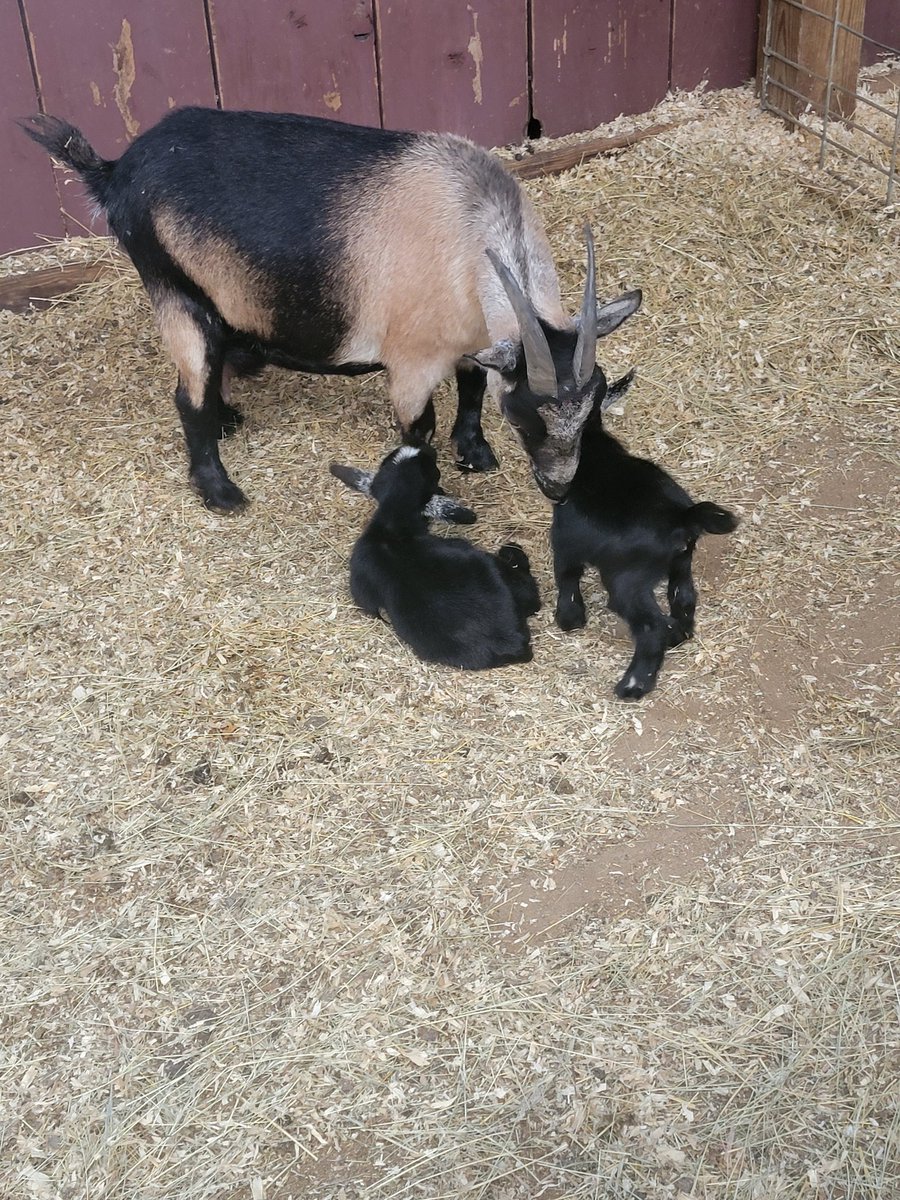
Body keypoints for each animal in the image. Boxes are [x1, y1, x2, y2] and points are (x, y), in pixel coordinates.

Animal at [21, 110, 640, 511]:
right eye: (527, 416)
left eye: (594, 414)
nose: (558, 488)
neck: (471, 231)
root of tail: (113, 171)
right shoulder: (411, 361)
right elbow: (420, 427)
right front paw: (433, 487)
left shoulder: (471, 337)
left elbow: (469, 390)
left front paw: (475, 452)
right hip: (174, 291)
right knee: (187, 394)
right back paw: (220, 491)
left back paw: (227, 418)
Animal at [551, 371, 738, 699]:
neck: (593, 447)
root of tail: (681, 516)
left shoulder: (565, 536)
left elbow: (566, 574)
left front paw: (569, 617)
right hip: (681, 561)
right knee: (684, 596)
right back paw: (678, 635)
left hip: (626, 580)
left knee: (652, 626)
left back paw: (634, 685)